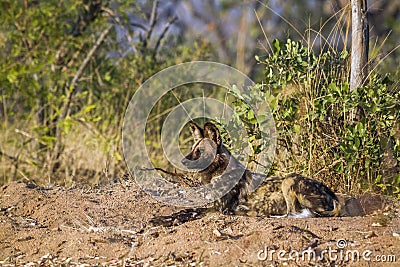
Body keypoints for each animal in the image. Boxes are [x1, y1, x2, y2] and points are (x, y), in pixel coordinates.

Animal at [181, 122, 340, 219]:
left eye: (200, 151)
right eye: (192, 149)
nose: (183, 161)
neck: (217, 172)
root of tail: (330, 193)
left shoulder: (221, 208)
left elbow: (194, 211)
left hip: (288, 180)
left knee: (293, 213)